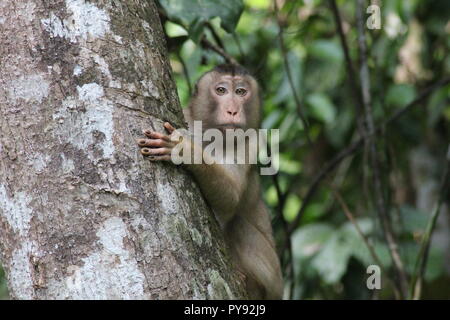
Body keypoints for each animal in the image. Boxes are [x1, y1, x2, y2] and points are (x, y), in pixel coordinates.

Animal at [139, 63, 284, 298]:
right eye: (221, 90)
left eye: (241, 92)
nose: (233, 110)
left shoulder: (251, 140)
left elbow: (231, 196)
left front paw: (185, 151)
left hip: (274, 280)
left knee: (238, 224)